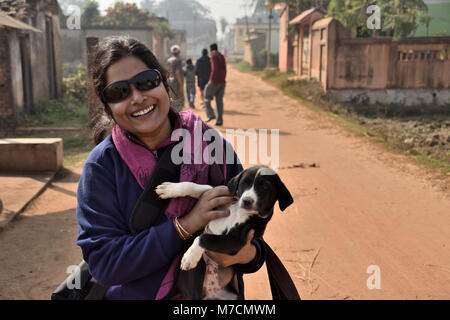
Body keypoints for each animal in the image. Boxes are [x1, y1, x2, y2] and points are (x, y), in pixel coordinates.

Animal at [156, 165, 294, 300]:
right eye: (244, 183)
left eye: (264, 187)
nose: (246, 200)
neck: (239, 210)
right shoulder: (220, 196)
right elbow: (201, 187)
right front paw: (169, 189)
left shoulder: (236, 241)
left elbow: (204, 237)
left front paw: (190, 256)